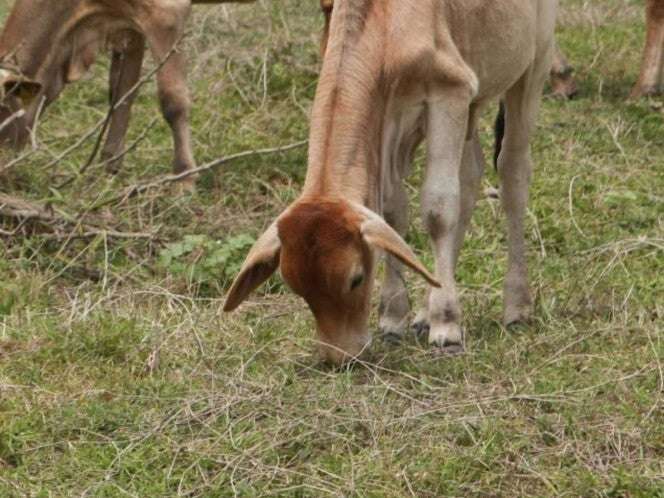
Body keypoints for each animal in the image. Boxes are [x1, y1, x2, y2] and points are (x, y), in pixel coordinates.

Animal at [0, 0, 253, 185]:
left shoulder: (167, 14)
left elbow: (173, 100)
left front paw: (183, 179)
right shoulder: (128, 25)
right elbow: (122, 92)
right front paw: (109, 168)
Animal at [226, 0, 556, 366]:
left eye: (356, 278)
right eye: (295, 286)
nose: (340, 356)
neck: (386, 24)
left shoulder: (450, 92)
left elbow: (439, 209)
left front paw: (447, 325)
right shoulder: (387, 115)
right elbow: (392, 213)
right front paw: (394, 316)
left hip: (534, 62)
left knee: (513, 172)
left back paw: (516, 306)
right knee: (471, 176)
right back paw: (427, 310)